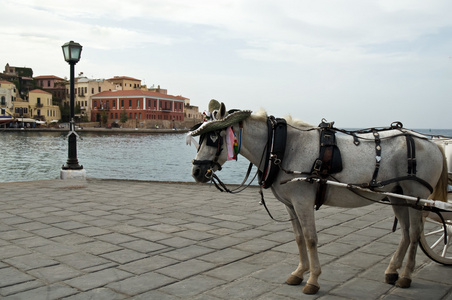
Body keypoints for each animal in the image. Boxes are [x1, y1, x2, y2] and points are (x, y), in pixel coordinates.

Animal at [188, 102, 448, 294]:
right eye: (200, 139)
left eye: (214, 138)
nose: (196, 172)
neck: (282, 147)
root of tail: (431, 142)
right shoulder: (291, 205)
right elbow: (298, 238)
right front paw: (299, 273)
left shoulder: (303, 201)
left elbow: (311, 238)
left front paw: (313, 280)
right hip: (397, 196)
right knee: (405, 233)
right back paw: (393, 271)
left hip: (415, 196)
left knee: (415, 233)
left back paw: (406, 276)